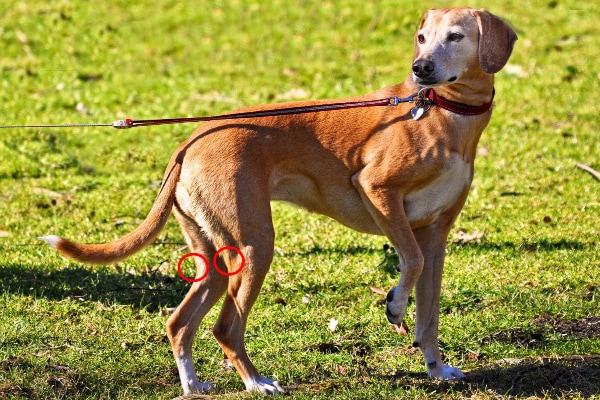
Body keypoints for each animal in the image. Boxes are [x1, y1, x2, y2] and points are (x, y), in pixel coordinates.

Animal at [38, 7, 516, 396]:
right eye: (421, 37)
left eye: (455, 36)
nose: (421, 68)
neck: (443, 113)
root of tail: (191, 140)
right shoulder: (378, 191)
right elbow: (409, 264)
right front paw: (396, 304)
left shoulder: (437, 236)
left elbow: (429, 312)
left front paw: (435, 368)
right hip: (255, 247)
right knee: (226, 328)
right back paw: (256, 382)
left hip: (215, 257)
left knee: (179, 323)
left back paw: (193, 385)